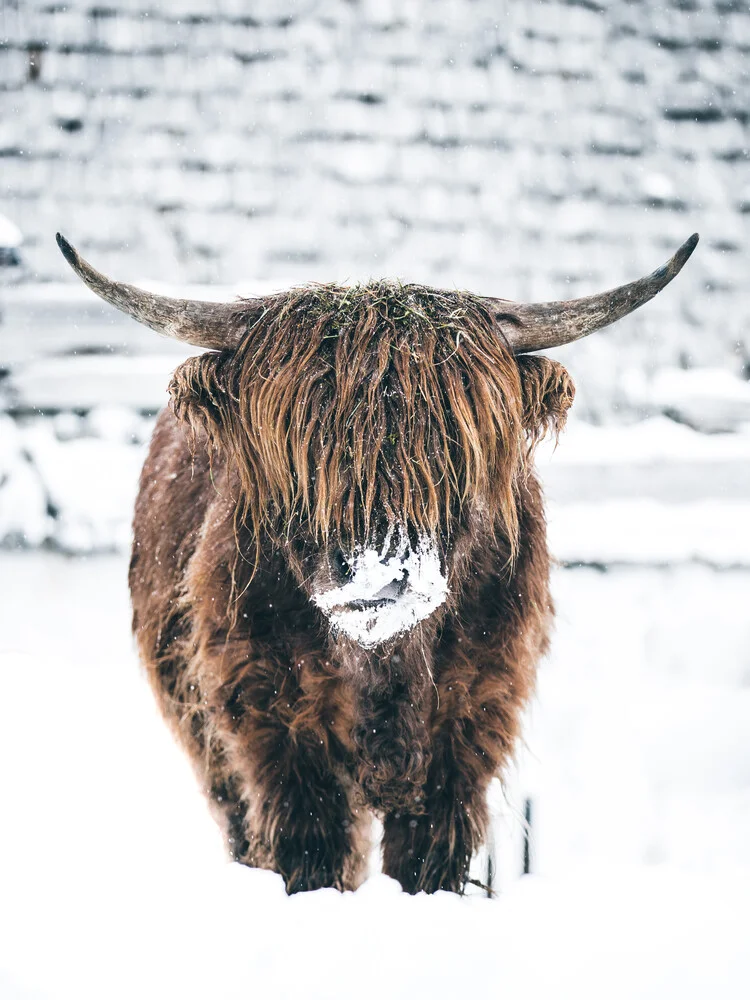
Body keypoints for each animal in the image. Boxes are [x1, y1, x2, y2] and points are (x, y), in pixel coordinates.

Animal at [58, 230, 700, 896]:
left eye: (451, 448)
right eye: (302, 449)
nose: (380, 576)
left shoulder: (475, 713)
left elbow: (428, 854)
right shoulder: (266, 713)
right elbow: (311, 845)